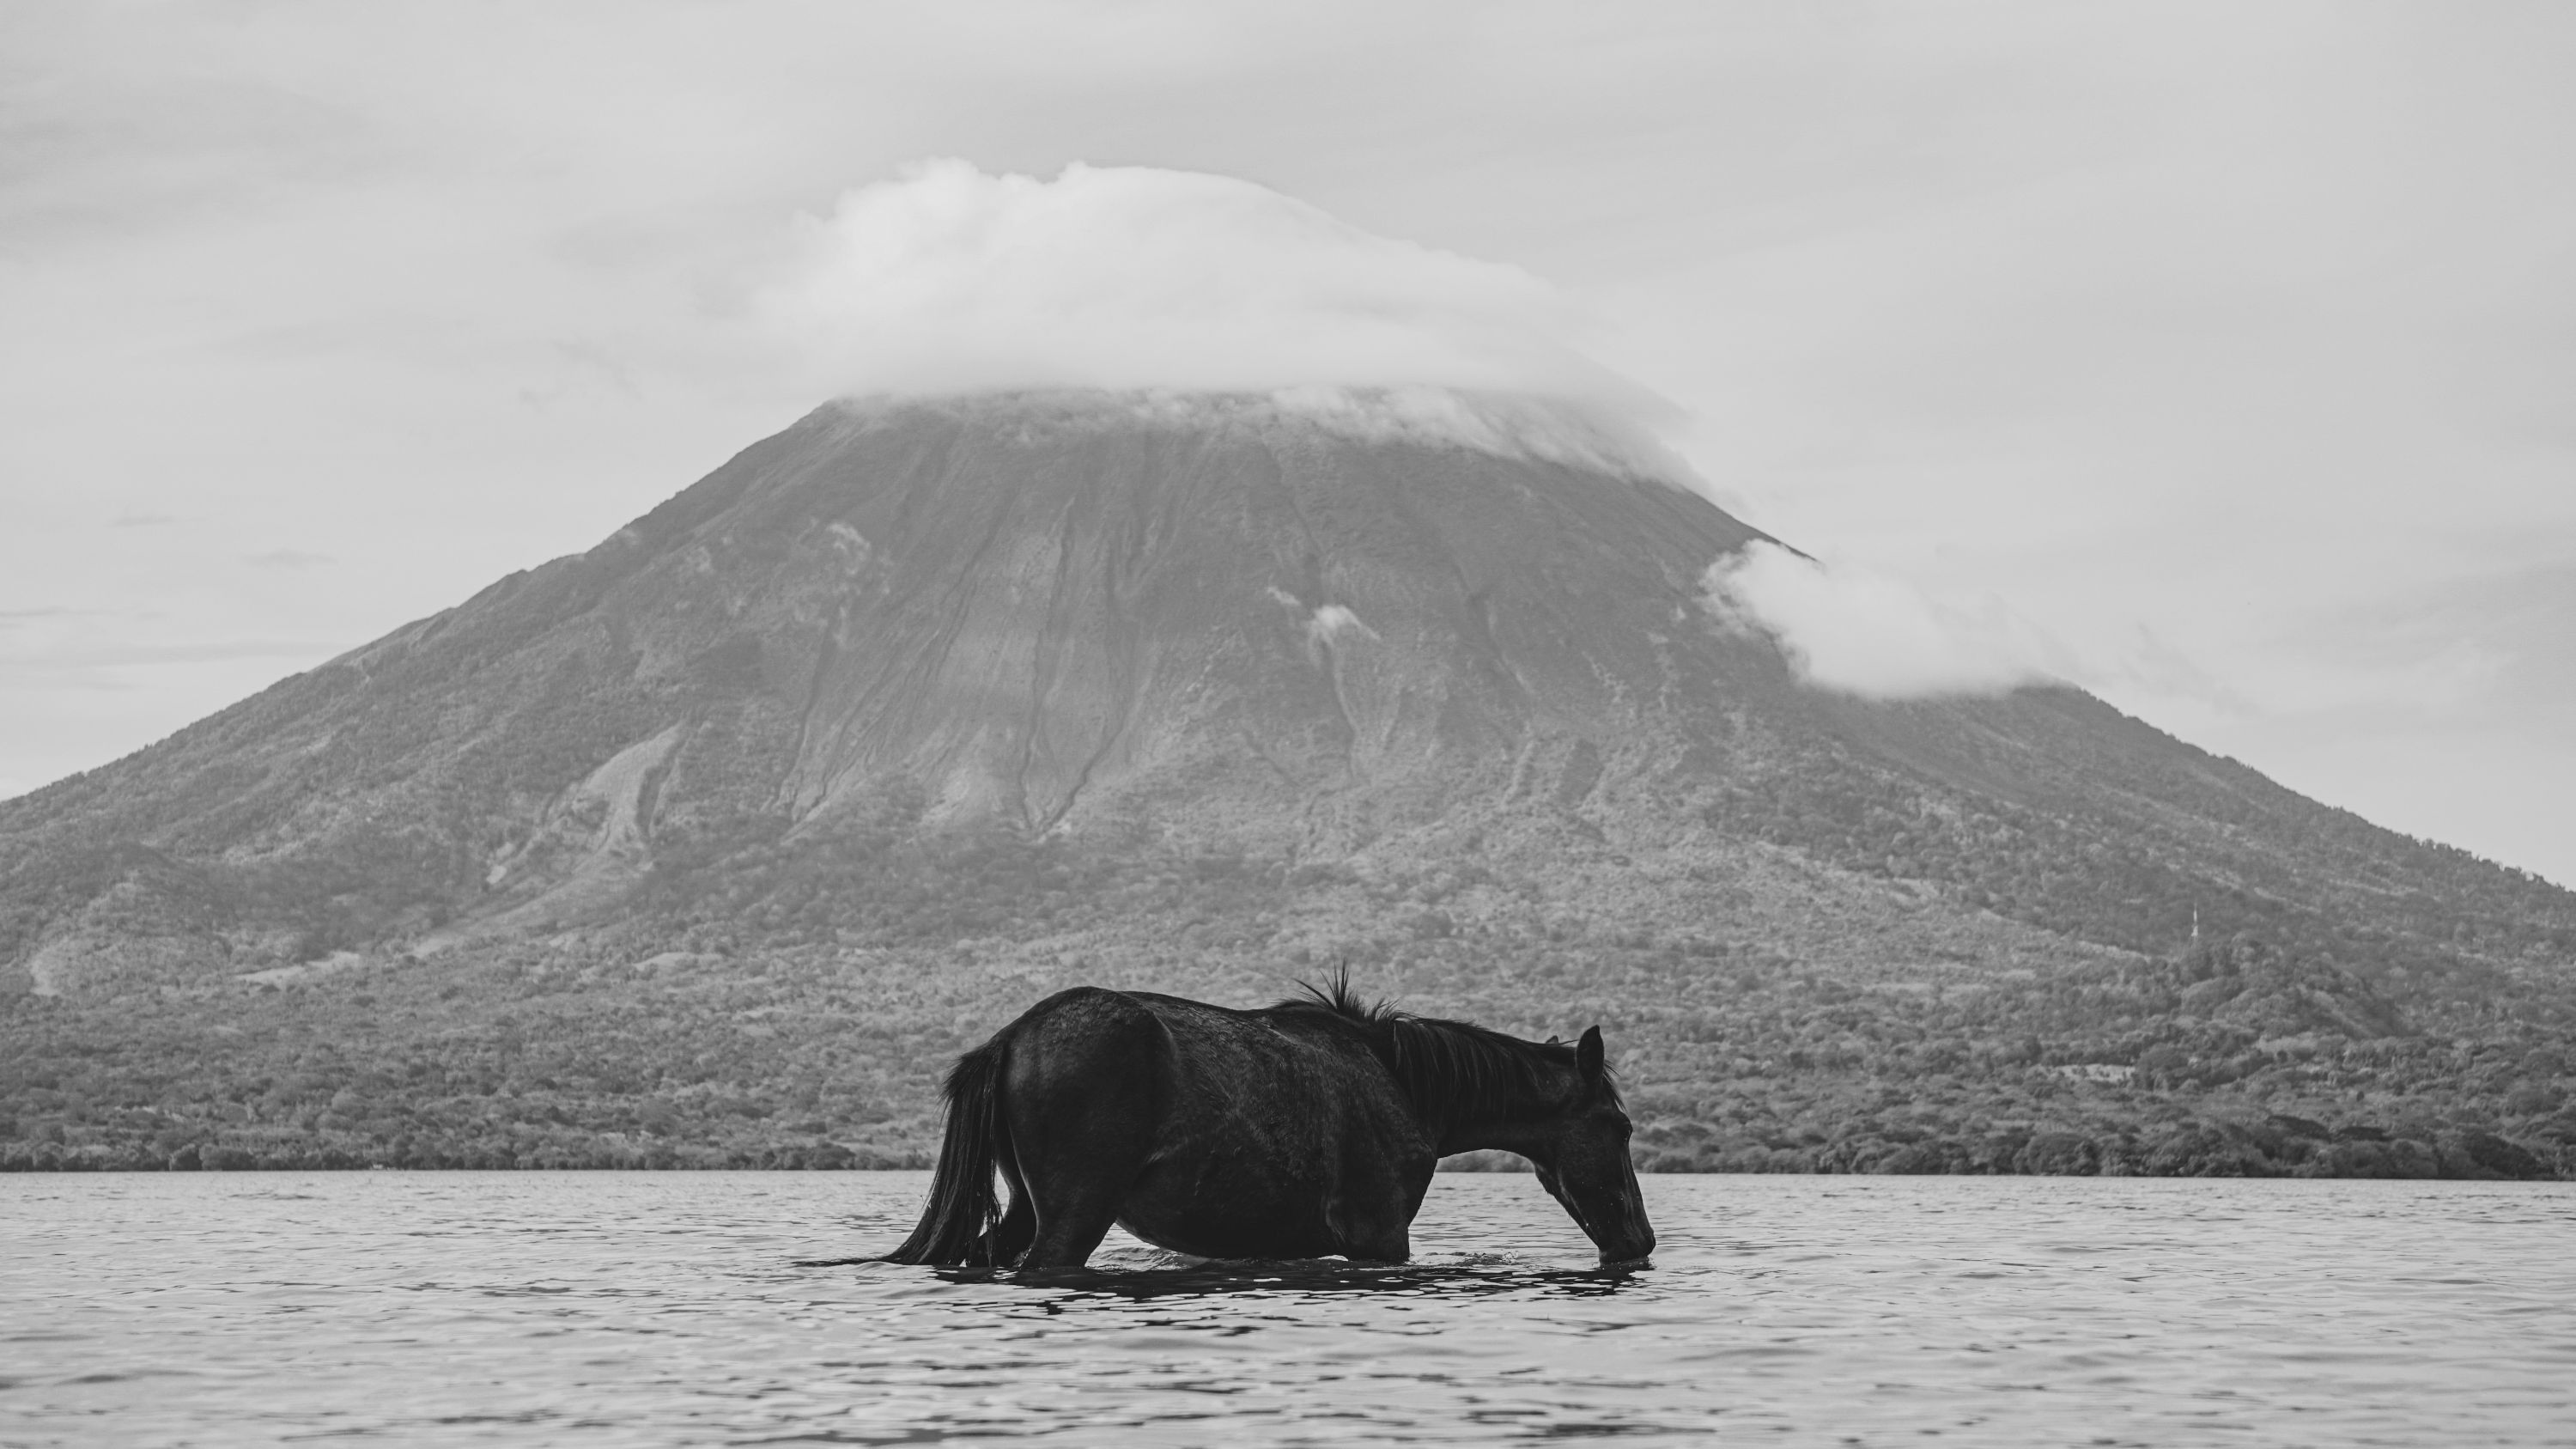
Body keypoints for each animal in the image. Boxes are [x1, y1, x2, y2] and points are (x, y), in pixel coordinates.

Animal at [876, 974, 1659, 1268]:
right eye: (1619, 1128)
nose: (1641, 1239)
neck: (1404, 1083)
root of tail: (1011, 1037)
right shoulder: (1379, 1233)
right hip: (1072, 1215)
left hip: (1021, 1207)